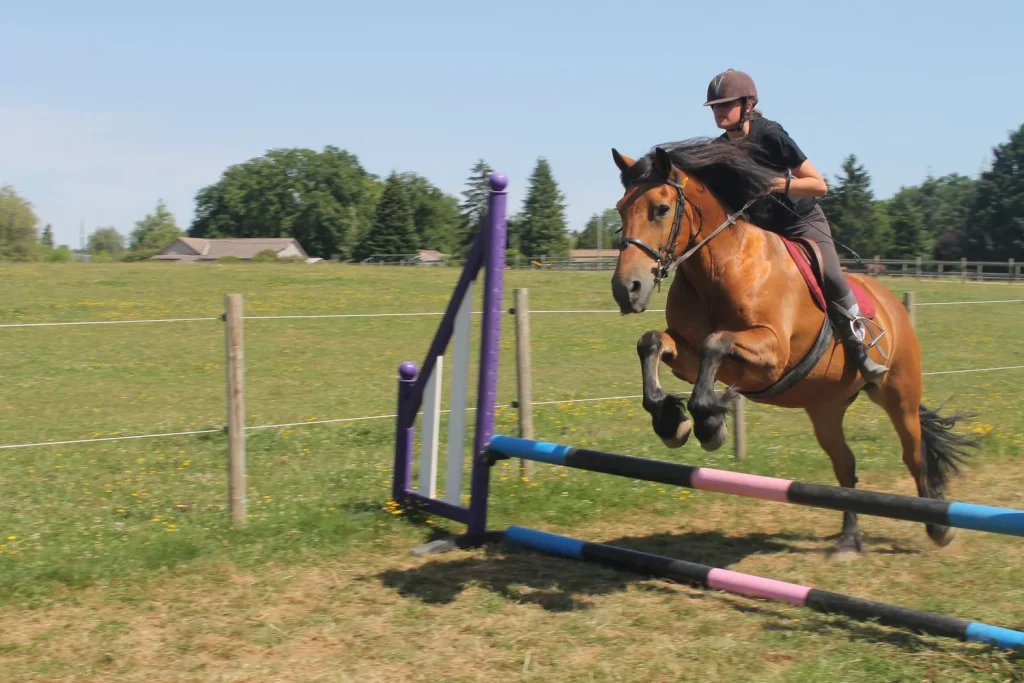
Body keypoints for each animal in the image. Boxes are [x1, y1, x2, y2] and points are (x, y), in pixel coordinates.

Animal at [602, 141, 978, 557]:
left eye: (661, 209)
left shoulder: (771, 356)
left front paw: (711, 424)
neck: (721, 266)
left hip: (899, 394)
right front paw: (672, 420)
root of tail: (893, 304)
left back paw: (938, 527)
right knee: (845, 465)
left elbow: (716, 344)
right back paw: (848, 541)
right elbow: (652, 342)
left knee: (914, 454)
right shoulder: (686, 355)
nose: (627, 289)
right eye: (621, 208)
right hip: (826, 407)